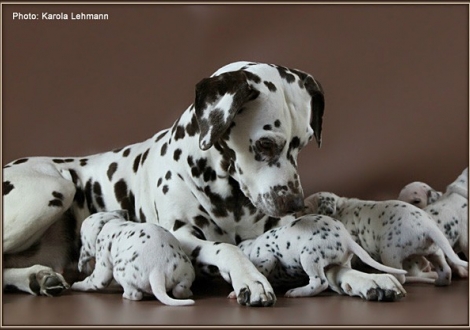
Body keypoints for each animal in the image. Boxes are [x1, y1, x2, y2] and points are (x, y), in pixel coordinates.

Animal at [233, 215, 406, 300]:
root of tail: (346, 239)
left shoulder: (267, 256)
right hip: (341, 260)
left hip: (309, 256)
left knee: (319, 283)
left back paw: (297, 292)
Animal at [302, 192, 468, 284]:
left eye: (306, 207)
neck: (341, 206)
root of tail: (428, 226)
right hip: (434, 251)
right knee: (445, 270)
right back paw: (440, 281)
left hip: (389, 253)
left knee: (401, 277)